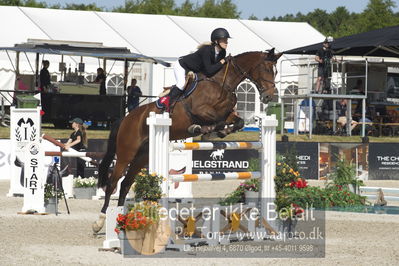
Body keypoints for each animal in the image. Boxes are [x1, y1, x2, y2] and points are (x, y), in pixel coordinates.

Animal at [92, 48, 282, 232]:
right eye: (266, 69)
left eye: (276, 71)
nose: (269, 97)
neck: (223, 84)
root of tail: (126, 118)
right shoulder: (201, 110)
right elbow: (215, 121)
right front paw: (201, 130)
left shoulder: (227, 113)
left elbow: (238, 121)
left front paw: (218, 132)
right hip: (126, 153)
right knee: (113, 183)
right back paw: (100, 221)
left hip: (142, 157)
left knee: (125, 184)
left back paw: (122, 222)